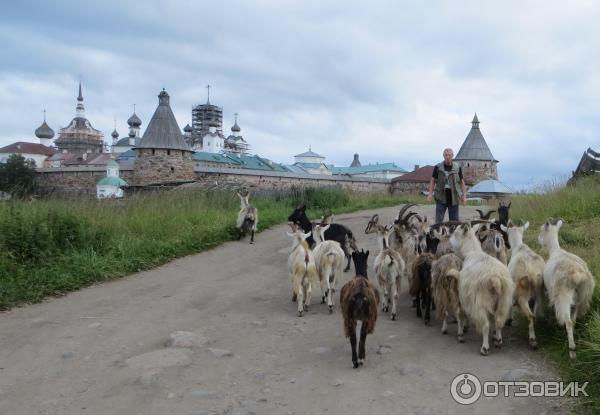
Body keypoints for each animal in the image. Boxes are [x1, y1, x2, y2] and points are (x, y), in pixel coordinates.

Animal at [450, 224, 516, 358]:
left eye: (455, 233)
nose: (449, 243)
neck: (472, 252)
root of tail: (496, 279)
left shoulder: (463, 296)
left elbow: (460, 313)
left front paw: (461, 334)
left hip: (481, 303)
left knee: (485, 325)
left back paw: (485, 348)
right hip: (503, 302)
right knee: (498, 321)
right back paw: (498, 341)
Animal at [540, 219, 596, 360]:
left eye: (541, 230)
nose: (539, 240)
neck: (555, 250)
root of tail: (579, 275)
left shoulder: (551, 293)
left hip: (563, 296)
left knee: (569, 322)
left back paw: (572, 350)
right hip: (582, 296)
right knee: (574, 320)